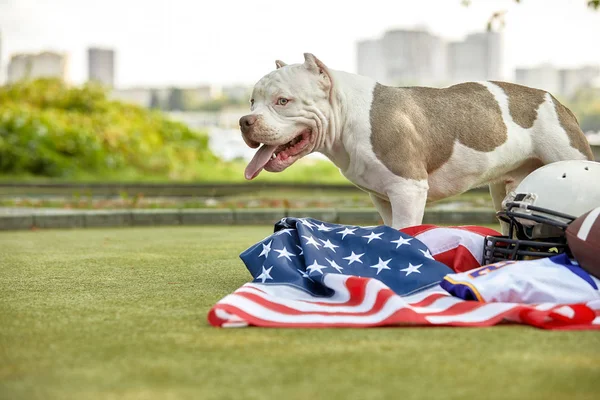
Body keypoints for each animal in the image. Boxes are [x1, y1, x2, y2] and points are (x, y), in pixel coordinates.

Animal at [237, 52, 592, 231]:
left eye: (283, 101)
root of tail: (559, 102)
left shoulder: (408, 189)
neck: (347, 116)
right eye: (252, 101)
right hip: (504, 191)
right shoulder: (383, 196)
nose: (244, 121)